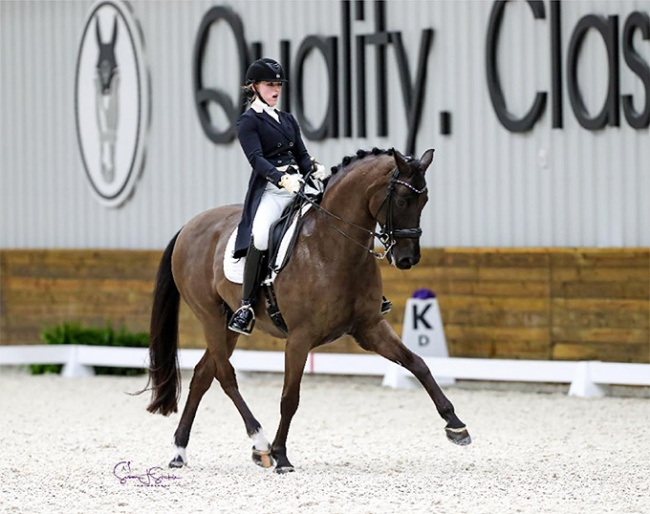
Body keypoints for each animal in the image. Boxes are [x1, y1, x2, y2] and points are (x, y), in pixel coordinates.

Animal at [146, 146, 470, 470]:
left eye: (424, 201)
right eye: (402, 200)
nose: (407, 259)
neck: (333, 248)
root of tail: (190, 226)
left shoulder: (370, 328)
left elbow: (418, 363)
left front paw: (456, 425)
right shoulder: (299, 338)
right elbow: (290, 397)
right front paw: (281, 455)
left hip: (229, 325)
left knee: (203, 374)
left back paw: (180, 451)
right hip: (210, 316)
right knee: (226, 375)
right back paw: (260, 443)